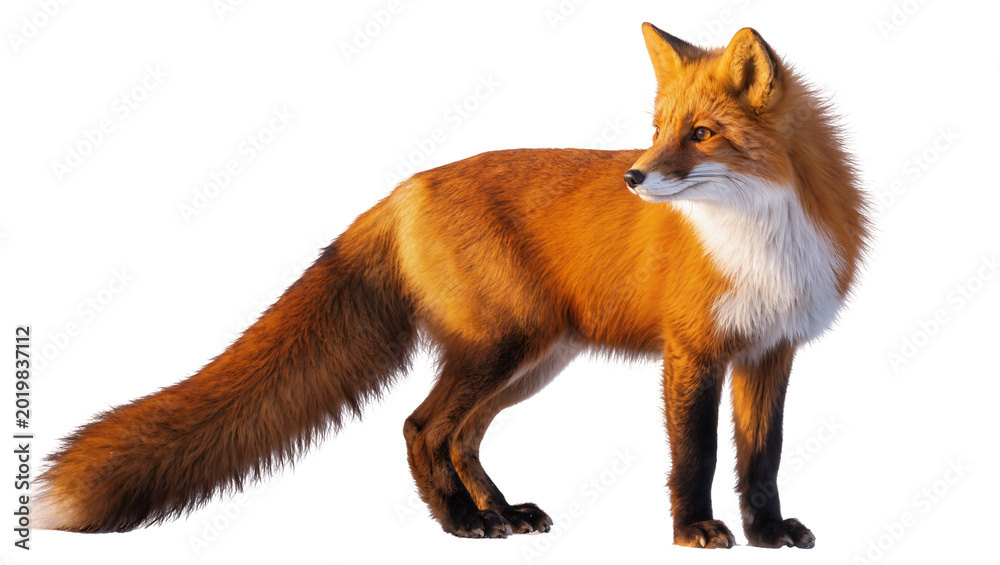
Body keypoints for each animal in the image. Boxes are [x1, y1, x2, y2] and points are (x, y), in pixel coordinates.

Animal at [34, 23, 867, 549]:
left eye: (701, 135)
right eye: (657, 128)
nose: (633, 177)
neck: (763, 234)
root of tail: (406, 187)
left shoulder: (770, 351)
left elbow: (762, 458)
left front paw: (768, 534)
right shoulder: (693, 349)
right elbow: (694, 454)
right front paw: (694, 530)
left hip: (530, 360)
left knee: (461, 436)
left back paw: (499, 511)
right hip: (501, 349)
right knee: (421, 427)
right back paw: (461, 525)